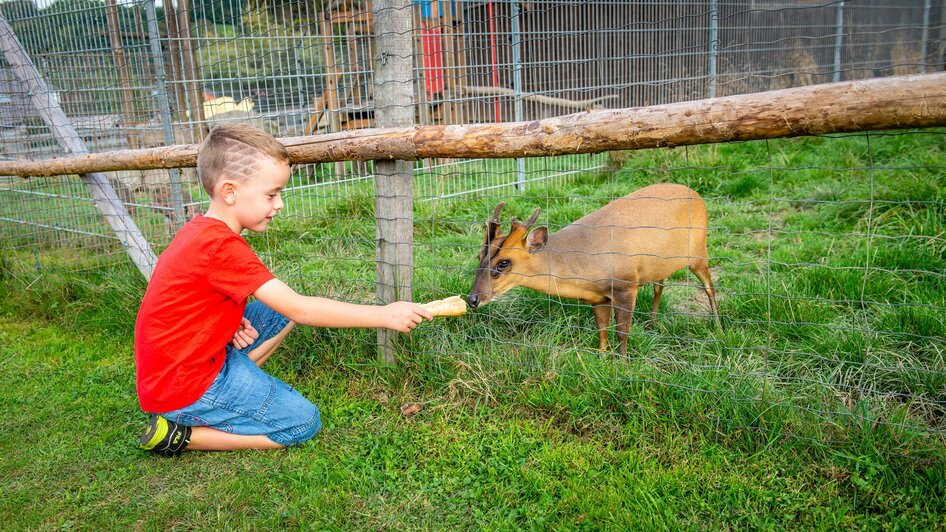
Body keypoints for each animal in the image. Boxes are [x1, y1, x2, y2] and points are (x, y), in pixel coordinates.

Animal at [466, 184, 724, 358]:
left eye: (503, 263)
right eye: (479, 256)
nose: (473, 299)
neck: (583, 261)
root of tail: (696, 195)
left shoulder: (625, 285)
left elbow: (622, 332)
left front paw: (623, 364)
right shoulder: (598, 297)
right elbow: (602, 330)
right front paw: (601, 358)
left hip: (698, 251)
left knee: (709, 287)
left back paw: (719, 328)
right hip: (660, 264)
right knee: (660, 286)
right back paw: (653, 324)